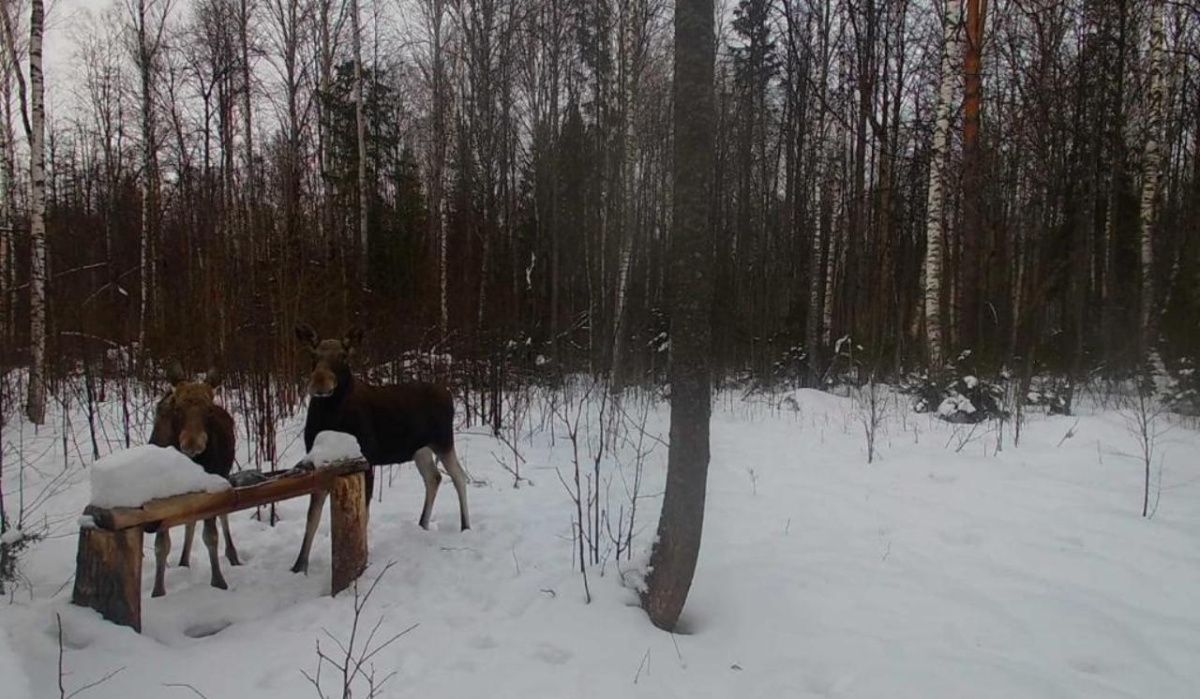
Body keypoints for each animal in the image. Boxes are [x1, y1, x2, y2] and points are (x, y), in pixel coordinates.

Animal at [148, 365, 240, 600]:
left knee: (223, 517)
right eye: (178, 409)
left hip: (224, 476)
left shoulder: (214, 488)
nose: (192, 443)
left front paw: (218, 581)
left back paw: (232, 554)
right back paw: (183, 560)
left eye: (208, 411)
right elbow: (161, 545)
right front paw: (157, 591)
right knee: (190, 521)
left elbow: (211, 536)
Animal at [290, 324, 472, 576]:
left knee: (459, 476)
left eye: (344, 356)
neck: (330, 416)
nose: (319, 382)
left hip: (443, 441)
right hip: (420, 449)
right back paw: (422, 523)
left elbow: (363, 514)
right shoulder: (319, 464)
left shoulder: (367, 461)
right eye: (313, 355)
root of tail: (448, 393)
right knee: (434, 477)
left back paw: (465, 525)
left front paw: (363, 561)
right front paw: (299, 566)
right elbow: (312, 518)